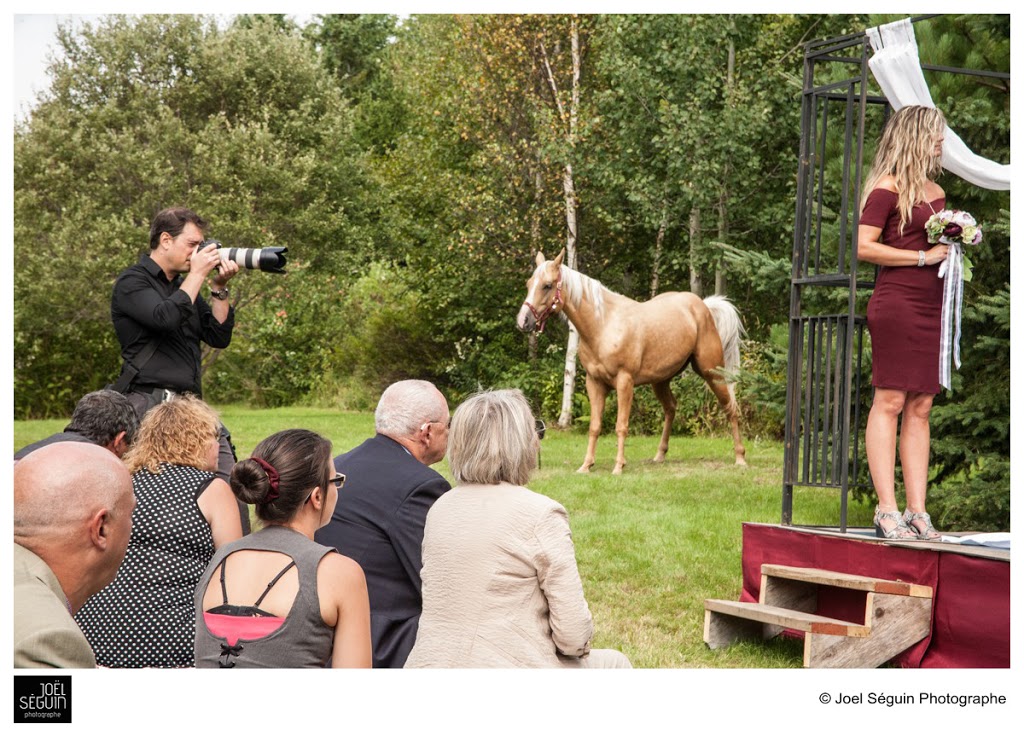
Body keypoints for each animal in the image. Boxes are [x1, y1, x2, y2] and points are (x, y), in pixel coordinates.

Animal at [520, 248, 745, 473]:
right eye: (529, 283)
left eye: (547, 285)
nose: (523, 320)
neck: (603, 325)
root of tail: (703, 306)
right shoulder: (594, 383)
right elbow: (595, 426)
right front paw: (586, 465)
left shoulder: (624, 382)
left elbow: (621, 426)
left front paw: (618, 466)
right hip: (660, 381)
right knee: (671, 408)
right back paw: (660, 455)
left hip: (712, 372)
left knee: (731, 407)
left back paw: (740, 458)